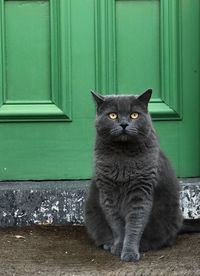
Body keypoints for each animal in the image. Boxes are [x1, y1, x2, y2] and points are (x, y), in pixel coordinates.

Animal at [85, 89, 200, 262]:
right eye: (112, 115)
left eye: (134, 115)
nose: (124, 124)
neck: (123, 157)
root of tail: (181, 221)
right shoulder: (108, 193)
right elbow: (117, 224)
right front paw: (118, 247)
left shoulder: (141, 191)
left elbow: (134, 224)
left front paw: (129, 252)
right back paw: (108, 244)